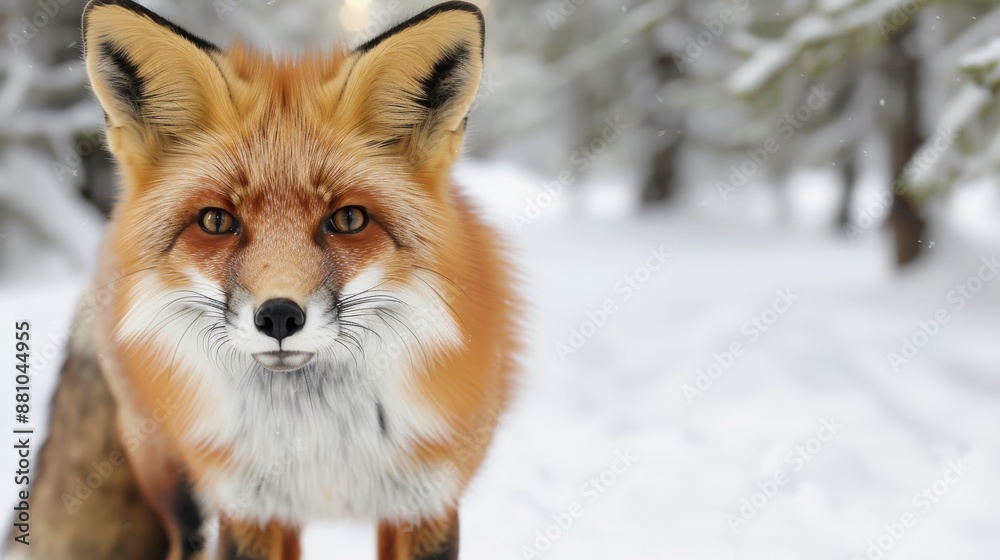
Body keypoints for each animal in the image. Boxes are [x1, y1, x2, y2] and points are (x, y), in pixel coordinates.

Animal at [7, 0, 518, 558]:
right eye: (216, 221)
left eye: (348, 219)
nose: (278, 317)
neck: (320, 437)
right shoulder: (247, 504)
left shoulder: (426, 500)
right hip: (177, 485)